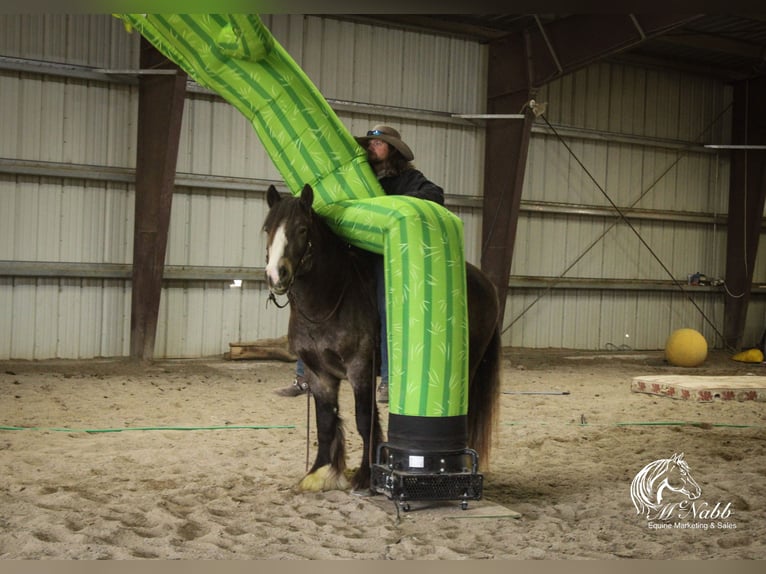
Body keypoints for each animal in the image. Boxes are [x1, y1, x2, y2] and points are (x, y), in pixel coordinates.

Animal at [264, 186, 504, 496]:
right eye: (267, 228)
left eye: (302, 229)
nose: (276, 275)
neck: (328, 300)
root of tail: (486, 283)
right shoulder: (319, 373)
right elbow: (325, 421)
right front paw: (320, 473)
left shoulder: (360, 368)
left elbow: (364, 420)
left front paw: (364, 477)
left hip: (469, 367)